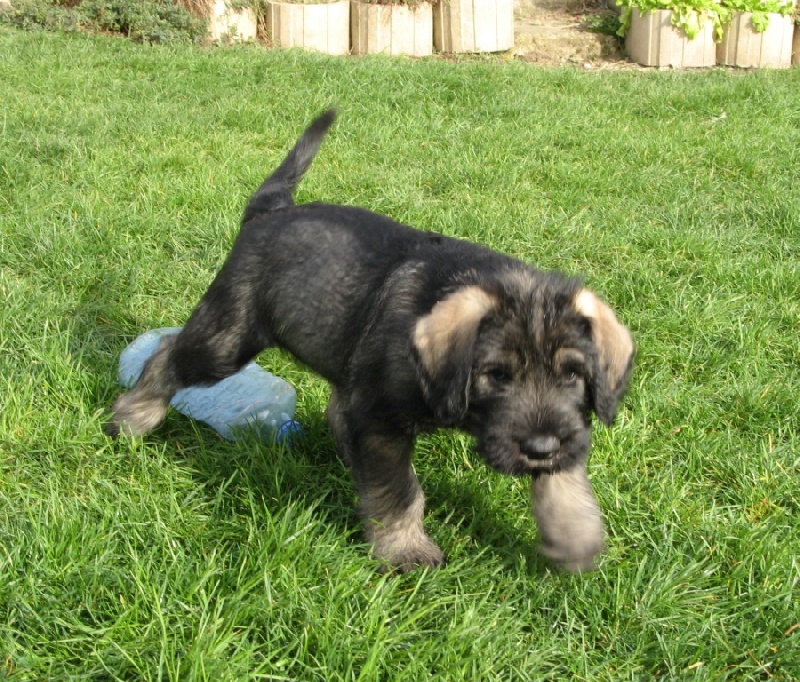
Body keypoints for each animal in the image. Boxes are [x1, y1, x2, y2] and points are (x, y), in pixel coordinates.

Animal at [106, 109, 636, 572]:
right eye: (497, 375)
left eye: (574, 374)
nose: (541, 449)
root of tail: (270, 211)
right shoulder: (381, 418)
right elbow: (401, 490)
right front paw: (405, 551)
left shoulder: (565, 425)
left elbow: (566, 475)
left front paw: (574, 535)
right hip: (226, 339)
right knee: (168, 355)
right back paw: (132, 419)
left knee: (337, 408)